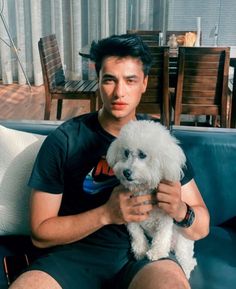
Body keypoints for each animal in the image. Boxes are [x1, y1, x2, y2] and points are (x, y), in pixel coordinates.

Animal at [106, 118, 196, 276]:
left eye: (142, 155)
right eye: (126, 152)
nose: (126, 172)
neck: (143, 189)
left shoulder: (166, 215)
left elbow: (162, 235)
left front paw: (157, 253)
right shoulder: (129, 214)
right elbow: (136, 233)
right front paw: (141, 251)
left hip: (182, 244)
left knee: (186, 260)